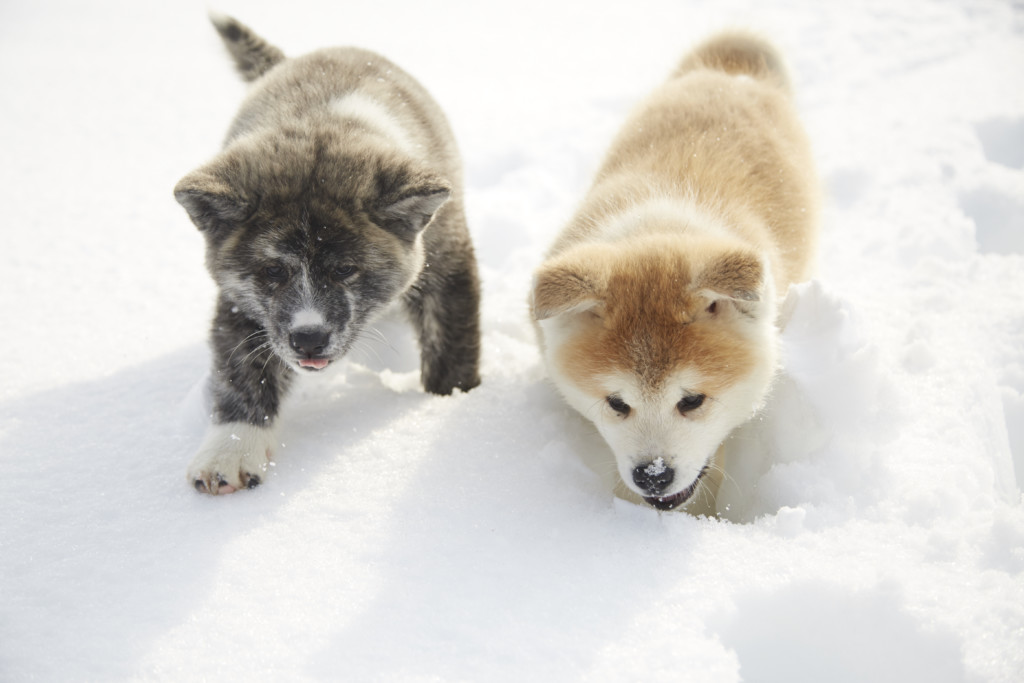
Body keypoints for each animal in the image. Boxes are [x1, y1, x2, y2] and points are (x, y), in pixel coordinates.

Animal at [175, 15, 479, 493]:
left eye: (345, 269)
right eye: (272, 270)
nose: (309, 338)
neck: (324, 121)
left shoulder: (446, 264)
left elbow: (451, 343)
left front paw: (448, 406)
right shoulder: (244, 301)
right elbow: (242, 370)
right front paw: (231, 449)